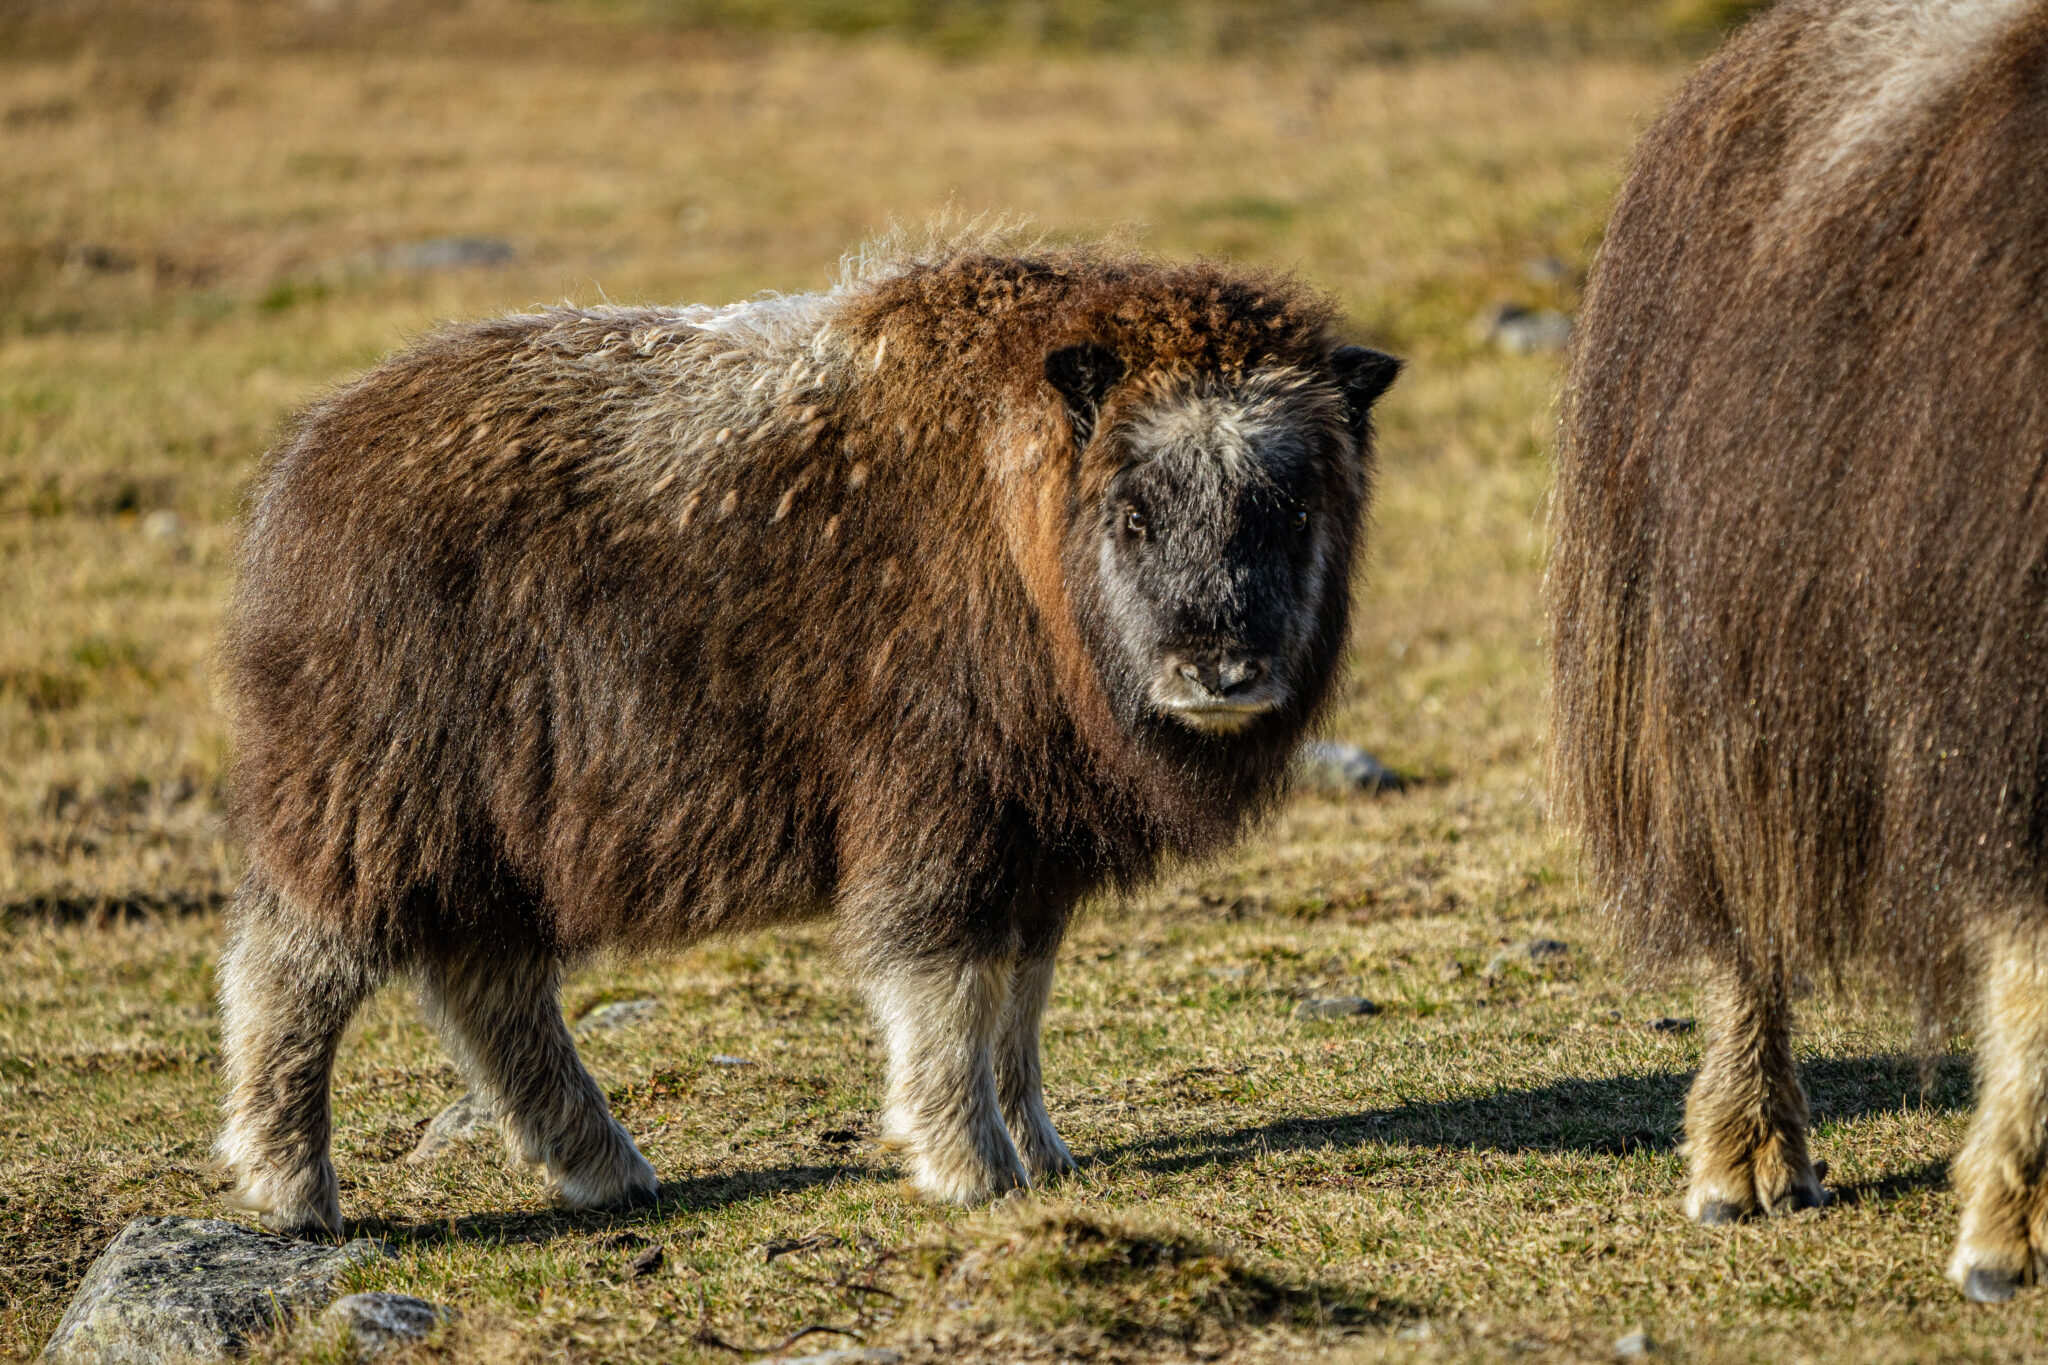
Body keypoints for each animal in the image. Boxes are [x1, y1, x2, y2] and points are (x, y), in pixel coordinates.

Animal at [220, 242, 1409, 1236]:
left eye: (1293, 509)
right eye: (1135, 513)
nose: (1221, 671)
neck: (1018, 529)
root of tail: (307, 469)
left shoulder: (1032, 848)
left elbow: (1018, 1006)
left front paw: (1042, 1153)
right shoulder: (942, 819)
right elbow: (948, 995)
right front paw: (970, 1169)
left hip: (491, 843)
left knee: (490, 992)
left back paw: (609, 1169)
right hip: (372, 803)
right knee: (293, 975)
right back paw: (293, 1192)